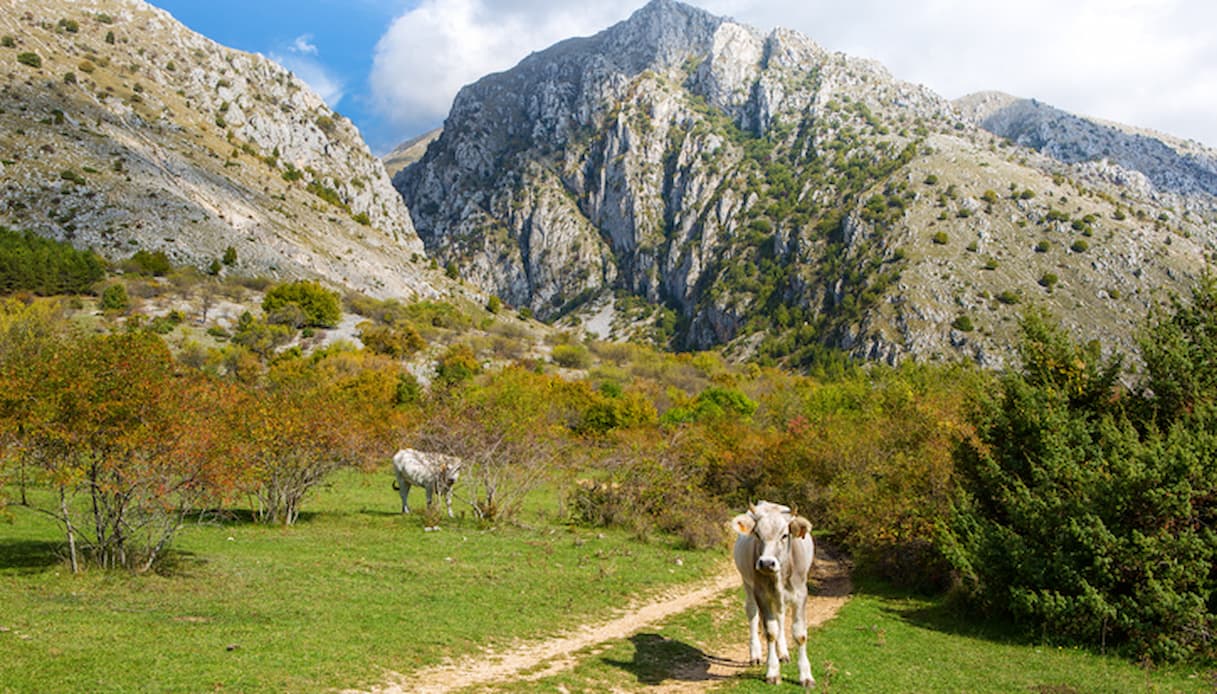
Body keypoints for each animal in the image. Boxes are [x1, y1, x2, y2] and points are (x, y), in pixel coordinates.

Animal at [730, 496, 817, 686]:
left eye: (784, 535)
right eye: (757, 534)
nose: (766, 563)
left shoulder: (801, 594)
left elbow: (800, 634)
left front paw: (806, 676)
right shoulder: (762, 594)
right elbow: (770, 632)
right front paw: (772, 672)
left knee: (780, 616)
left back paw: (783, 653)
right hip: (747, 584)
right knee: (752, 613)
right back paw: (755, 654)